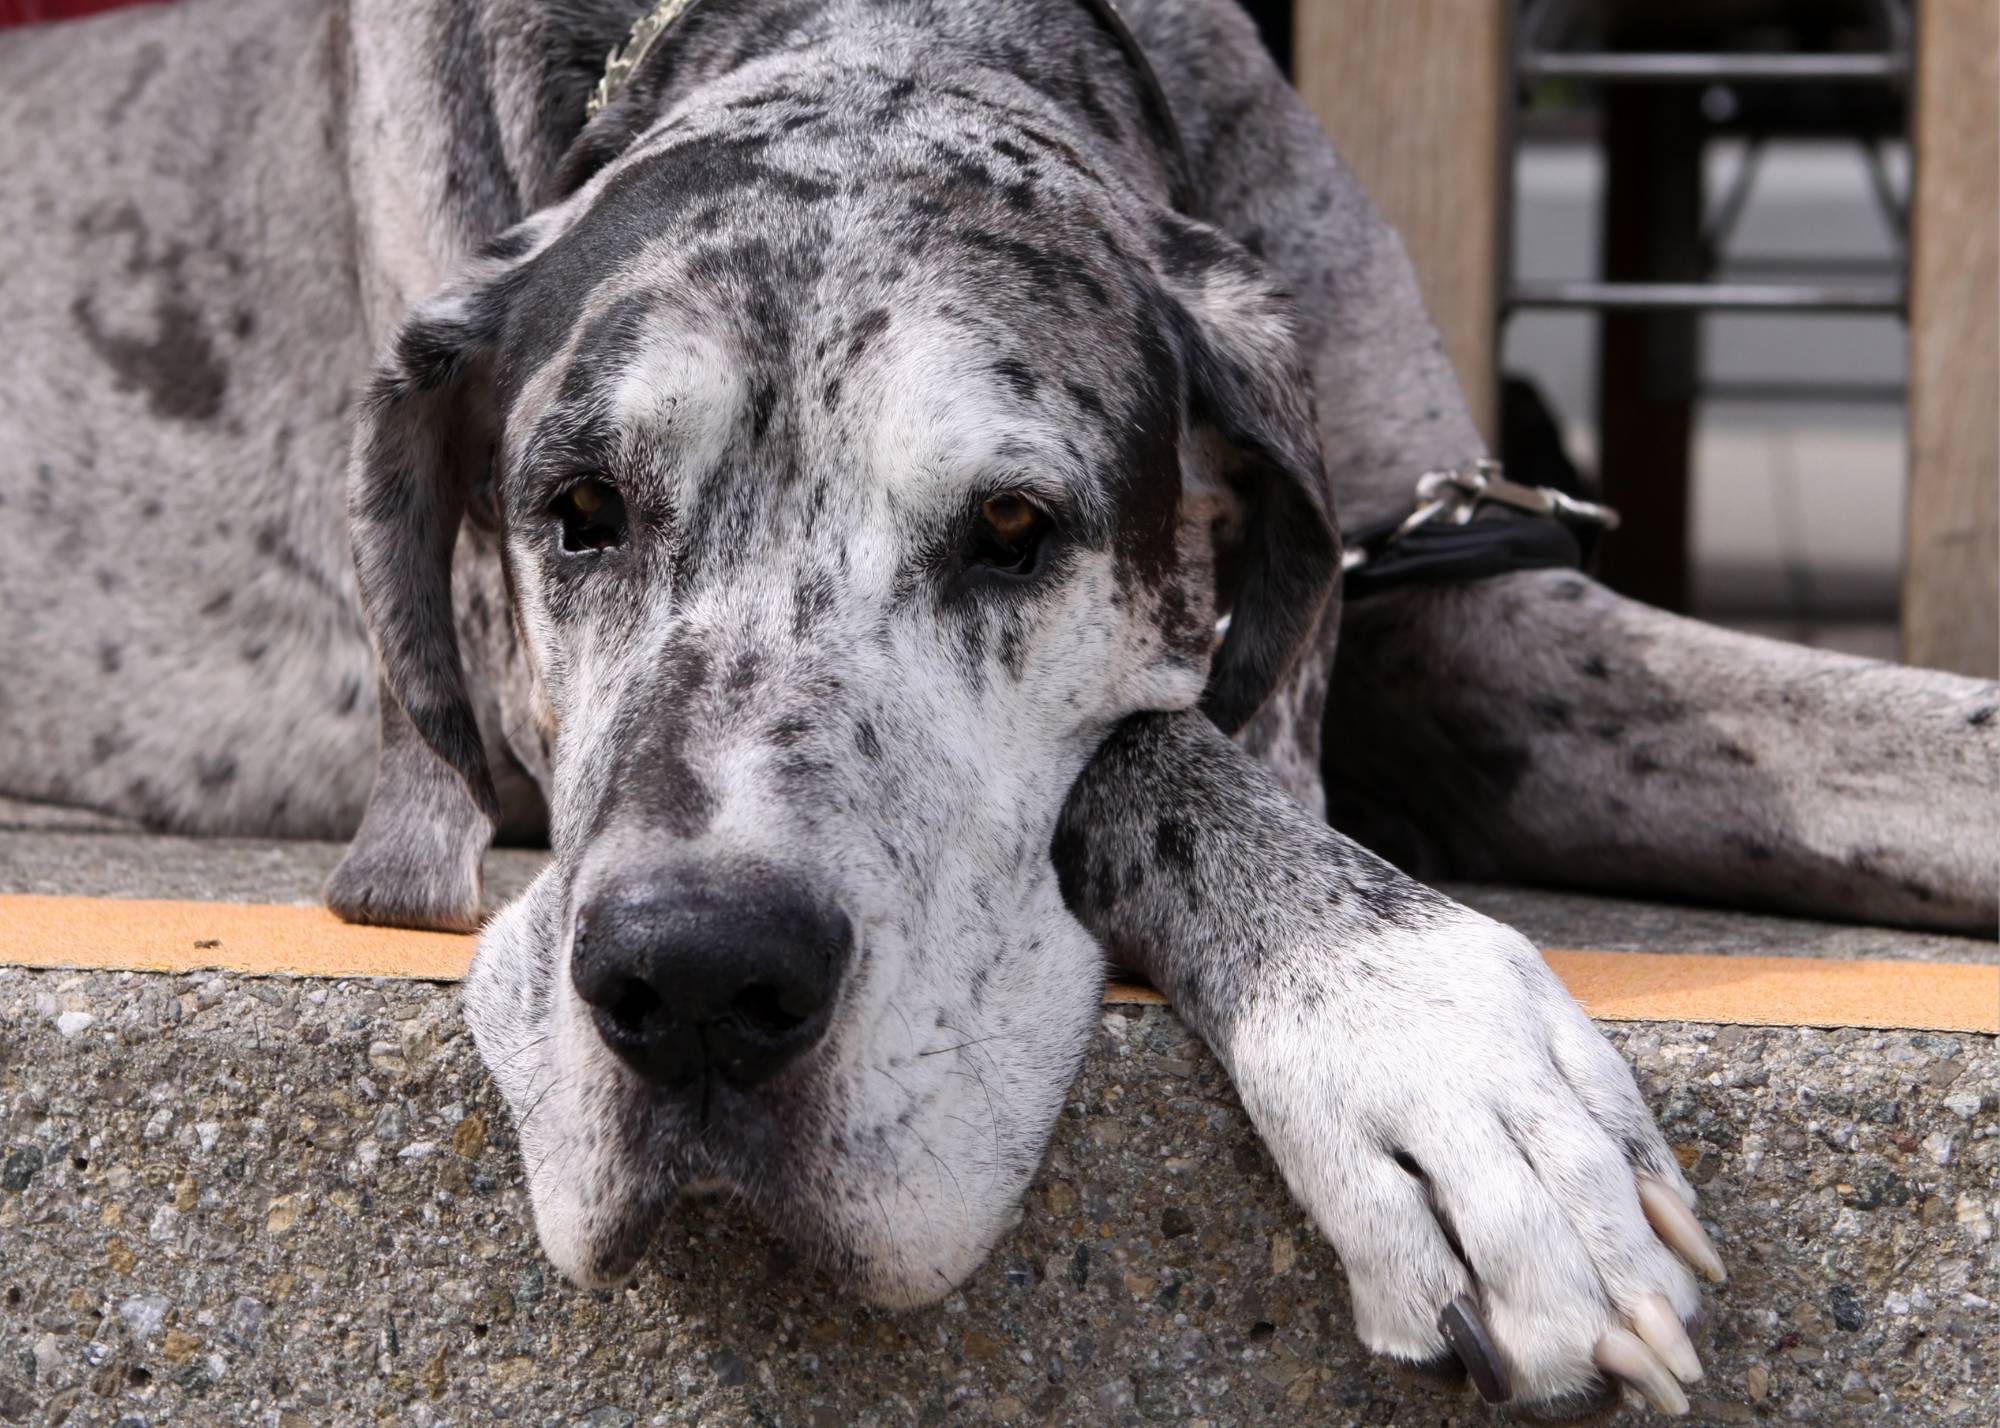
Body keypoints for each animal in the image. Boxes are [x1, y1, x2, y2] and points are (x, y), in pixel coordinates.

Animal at [3, 0, 2000, 1408]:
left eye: (1016, 528)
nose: (697, 982)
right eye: (577, 510)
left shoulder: (1467, 603)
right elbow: (1155, 742)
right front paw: (1435, 1055)